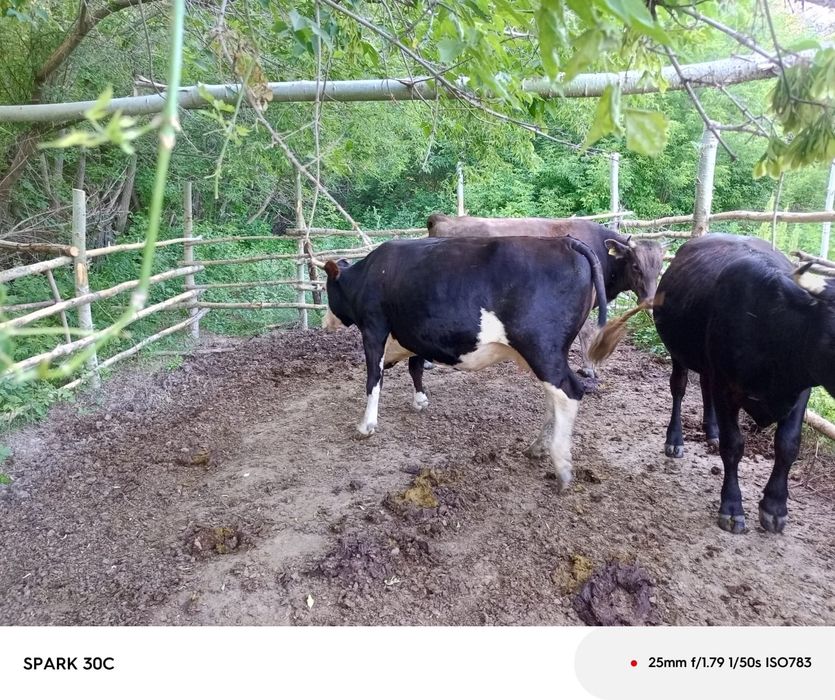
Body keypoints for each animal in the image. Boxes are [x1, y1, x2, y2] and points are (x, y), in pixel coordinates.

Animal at [322, 235, 627, 491]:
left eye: (327, 291)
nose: (325, 322)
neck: (368, 273)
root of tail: (565, 241)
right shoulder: (416, 332)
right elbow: (414, 365)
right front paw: (420, 399)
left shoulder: (373, 327)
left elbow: (373, 377)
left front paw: (366, 425)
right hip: (550, 352)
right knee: (554, 394)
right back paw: (538, 446)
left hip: (542, 347)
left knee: (569, 392)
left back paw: (561, 465)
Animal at [427, 213, 664, 376]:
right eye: (636, 266)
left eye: (660, 267)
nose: (650, 302)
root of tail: (443, 219)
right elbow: (586, 333)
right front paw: (588, 368)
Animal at [653, 234, 835, 534]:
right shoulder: (726, 387)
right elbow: (733, 445)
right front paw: (732, 508)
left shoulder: (801, 390)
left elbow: (788, 444)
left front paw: (774, 506)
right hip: (678, 353)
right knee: (678, 388)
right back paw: (675, 440)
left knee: (704, 385)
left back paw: (711, 431)